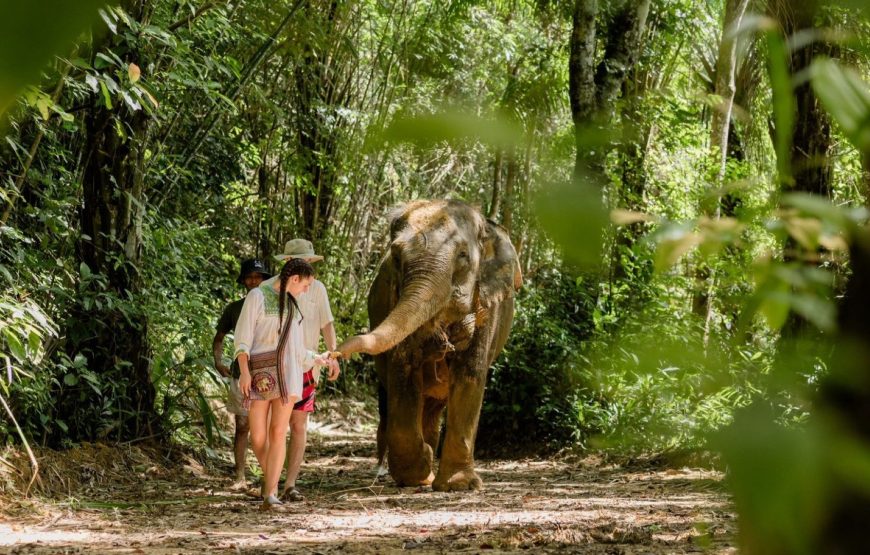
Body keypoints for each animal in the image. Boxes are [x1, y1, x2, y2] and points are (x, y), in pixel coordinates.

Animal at [337, 199, 522, 491]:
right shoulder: (394, 300)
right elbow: (403, 372)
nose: (337, 351)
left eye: (463, 256)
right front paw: (417, 472)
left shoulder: (488, 309)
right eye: (396, 257)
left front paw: (459, 485)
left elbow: (470, 376)